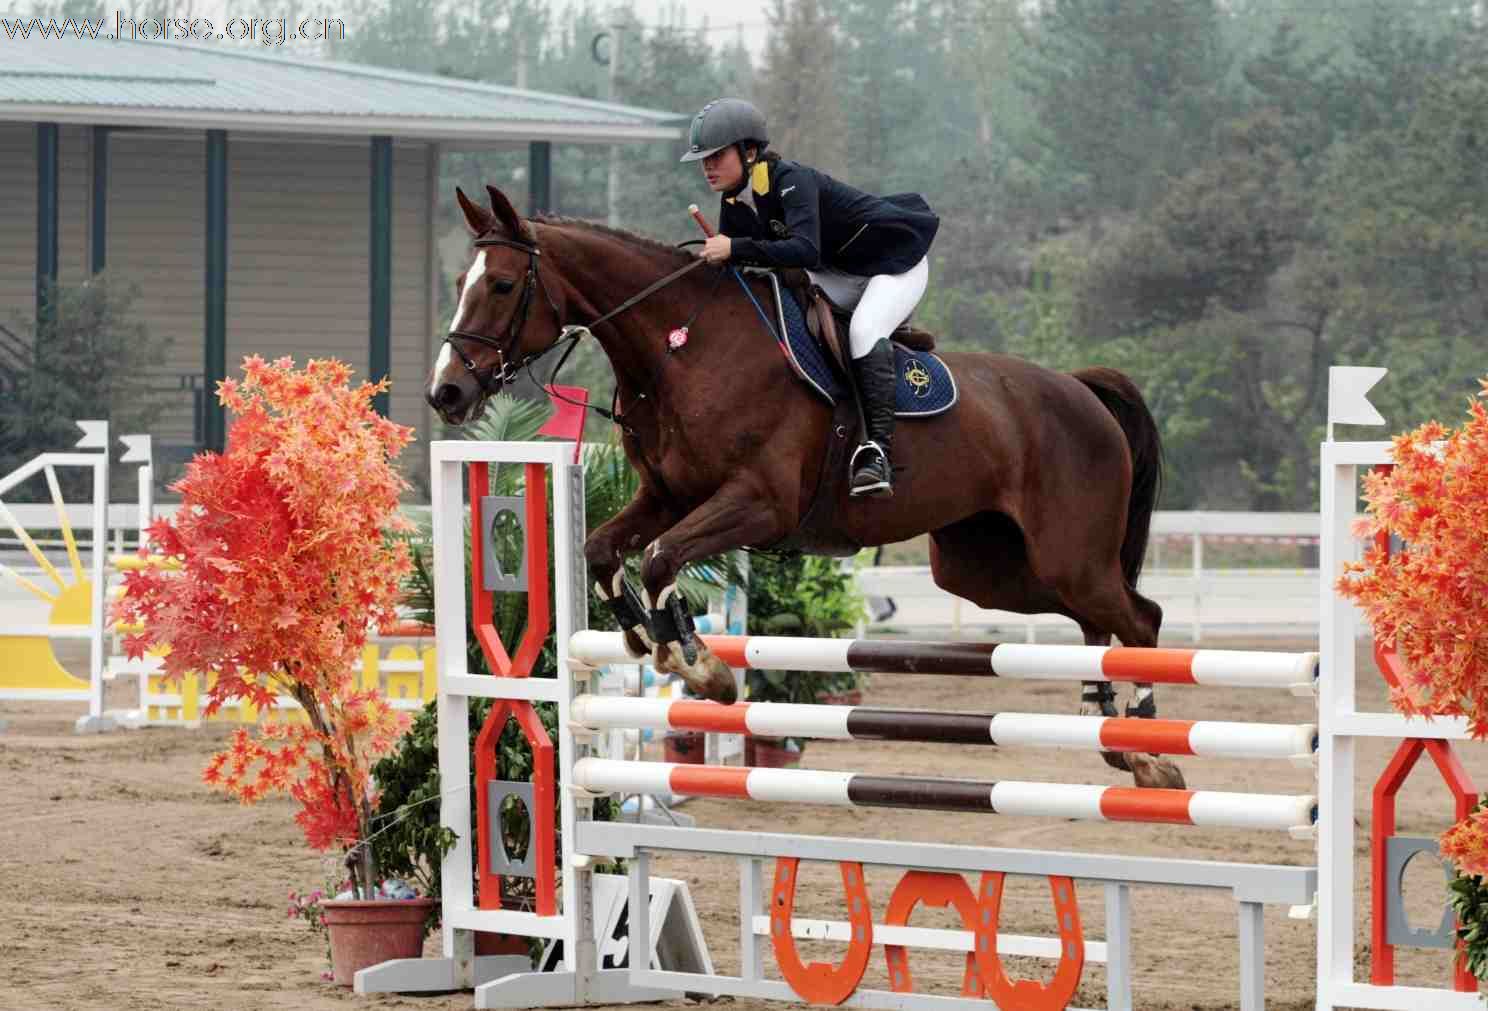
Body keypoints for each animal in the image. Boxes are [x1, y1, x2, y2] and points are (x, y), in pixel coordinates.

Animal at [431, 189, 1184, 792]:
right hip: (989, 569)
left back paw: (1150, 750)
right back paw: (1112, 738)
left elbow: (662, 558)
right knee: (1096, 623)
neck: (683, 347)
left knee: (1140, 617)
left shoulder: (760, 504)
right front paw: (648, 640)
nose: (448, 393)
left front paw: (700, 668)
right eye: (460, 280)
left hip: (1067, 554)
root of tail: (1082, 390)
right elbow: (601, 550)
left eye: (503, 285)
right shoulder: (668, 497)